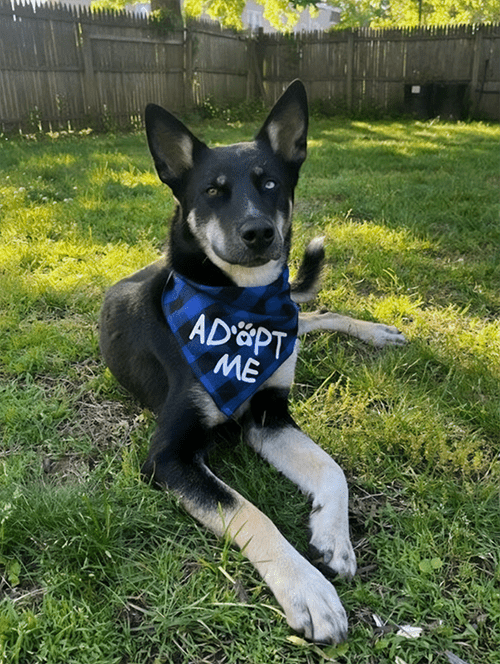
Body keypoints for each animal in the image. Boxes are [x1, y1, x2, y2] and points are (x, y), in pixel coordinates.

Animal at [98, 79, 406, 644]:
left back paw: (376, 332)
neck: (238, 302)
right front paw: (307, 589)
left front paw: (334, 538)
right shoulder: (168, 457)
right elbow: (248, 511)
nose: (260, 232)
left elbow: (332, 469)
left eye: (269, 184)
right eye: (212, 191)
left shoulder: (268, 415)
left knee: (315, 313)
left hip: (294, 327)